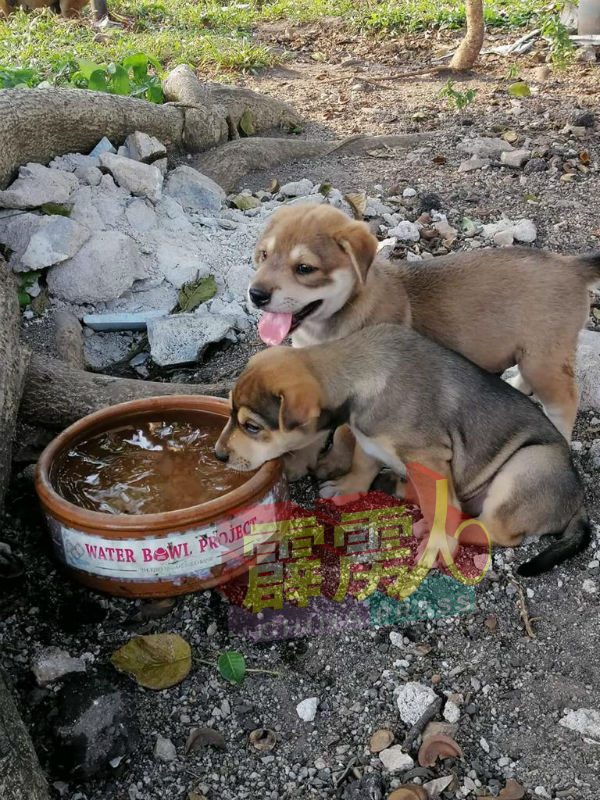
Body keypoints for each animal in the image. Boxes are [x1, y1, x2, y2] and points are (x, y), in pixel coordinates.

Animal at [216, 322, 592, 580]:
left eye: (252, 426)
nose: (219, 455)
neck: (357, 374)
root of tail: (578, 501)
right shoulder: (368, 438)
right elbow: (361, 464)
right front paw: (347, 489)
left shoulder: (428, 457)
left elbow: (440, 506)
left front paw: (438, 543)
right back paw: (395, 486)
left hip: (527, 465)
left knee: (494, 529)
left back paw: (444, 528)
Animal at [250, 202, 600, 444]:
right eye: (263, 255)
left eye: (304, 268)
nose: (255, 294)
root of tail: (571, 265)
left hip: (545, 356)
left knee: (565, 402)